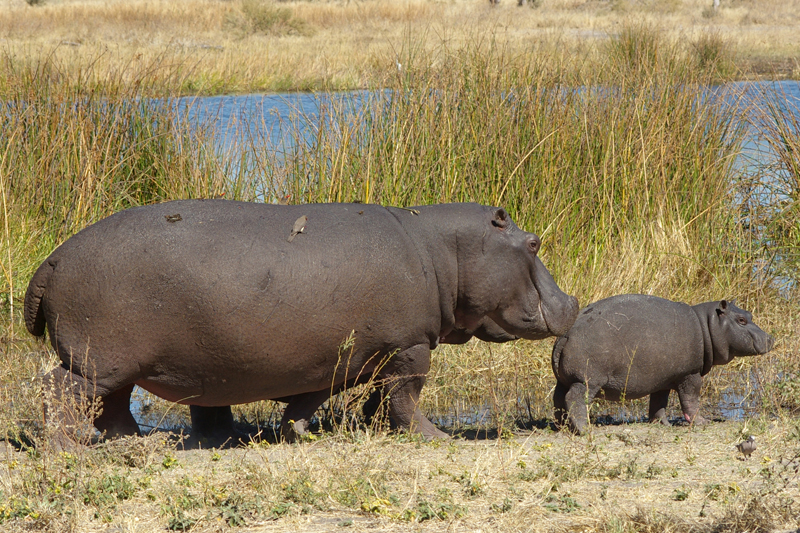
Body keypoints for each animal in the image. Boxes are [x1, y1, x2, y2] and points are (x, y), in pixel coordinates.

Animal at [23, 200, 576, 444]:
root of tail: (52, 258)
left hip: (118, 363)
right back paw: (75, 447)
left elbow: (323, 394)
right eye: (534, 244)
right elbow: (406, 397)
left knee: (112, 403)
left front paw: (299, 429)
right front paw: (436, 438)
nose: (572, 303)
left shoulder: (344, 355)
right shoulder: (410, 346)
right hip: (97, 360)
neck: (446, 253)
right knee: (59, 390)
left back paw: (131, 440)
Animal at [552, 296, 772, 432]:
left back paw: (563, 426)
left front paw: (662, 424)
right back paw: (584, 429)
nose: (770, 338)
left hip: (564, 380)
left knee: (558, 399)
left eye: (749, 314)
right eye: (741, 319)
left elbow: (658, 403)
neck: (707, 325)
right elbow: (691, 400)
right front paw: (702, 422)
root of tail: (565, 335)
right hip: (587, 380)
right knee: (575, 399)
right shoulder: (689, 375)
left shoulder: (664, 379)